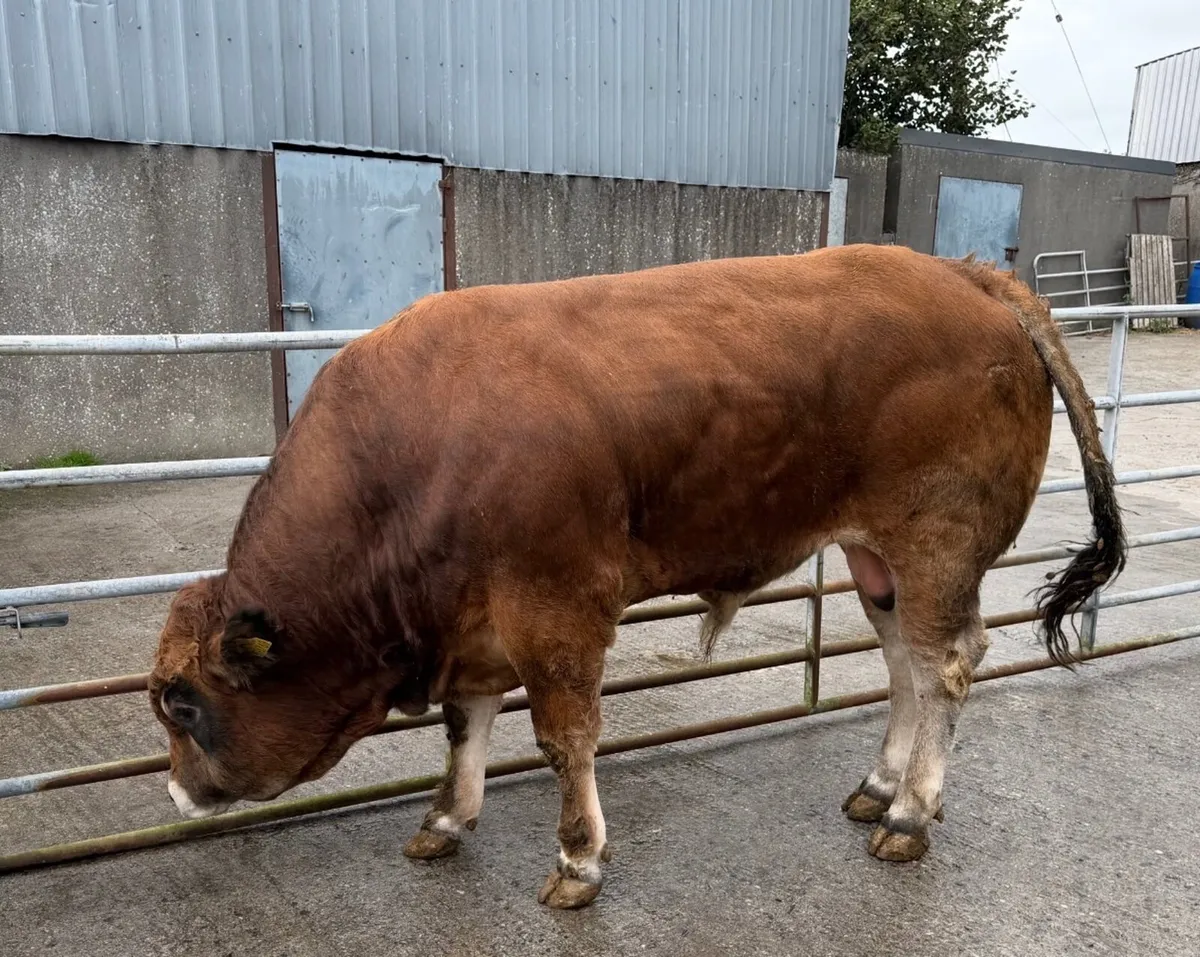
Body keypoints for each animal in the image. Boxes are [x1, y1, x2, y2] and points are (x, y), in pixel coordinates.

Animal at [148, 243, 1125, 909]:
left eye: (184, 706)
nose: (175, 790)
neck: (407, 454)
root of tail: (965, 275)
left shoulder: (556, 607)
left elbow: (563, 737)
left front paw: (578, 859)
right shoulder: (474, 620)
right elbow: (467, 727)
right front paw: (445, 818)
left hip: (936, 549)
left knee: (945, 666)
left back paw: (911, 814)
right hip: (876, 561)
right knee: (903, 668)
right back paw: (880, 786)